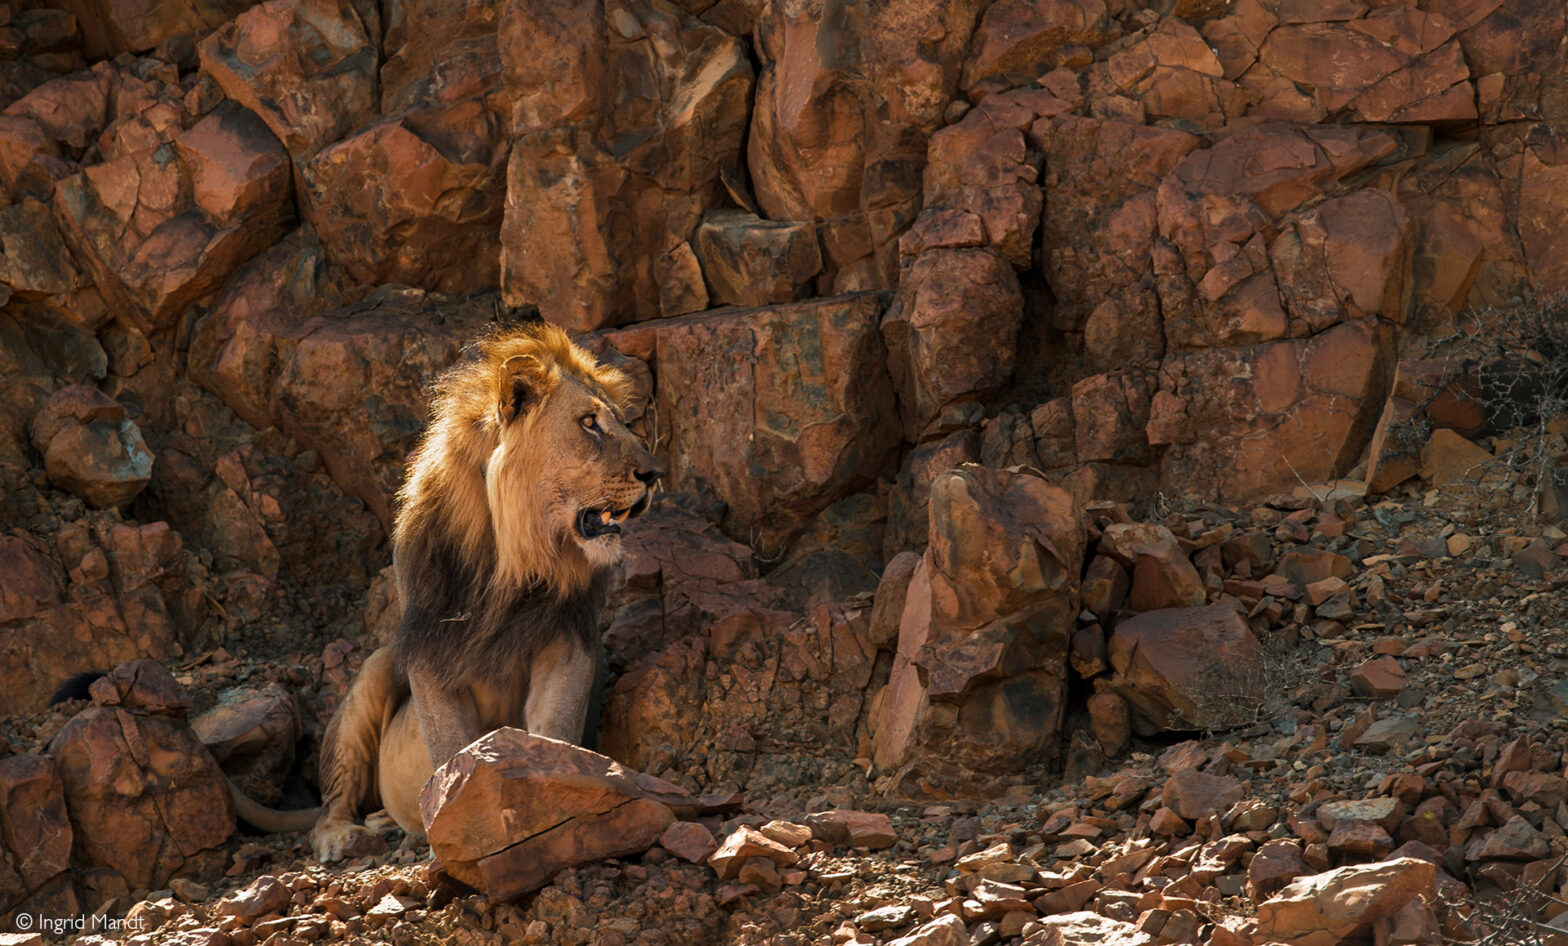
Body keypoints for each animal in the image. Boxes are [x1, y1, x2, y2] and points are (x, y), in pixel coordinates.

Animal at [228, 321, 658, 859]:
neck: (513, 558)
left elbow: (554, 730)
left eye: (619, 421)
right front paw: (459, 820)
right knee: (331, 802)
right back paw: (345, 836)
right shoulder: (430, 648)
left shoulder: (567, 641)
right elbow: (452, 747)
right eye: (588, 423)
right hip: (374, 671)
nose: (654, 474)